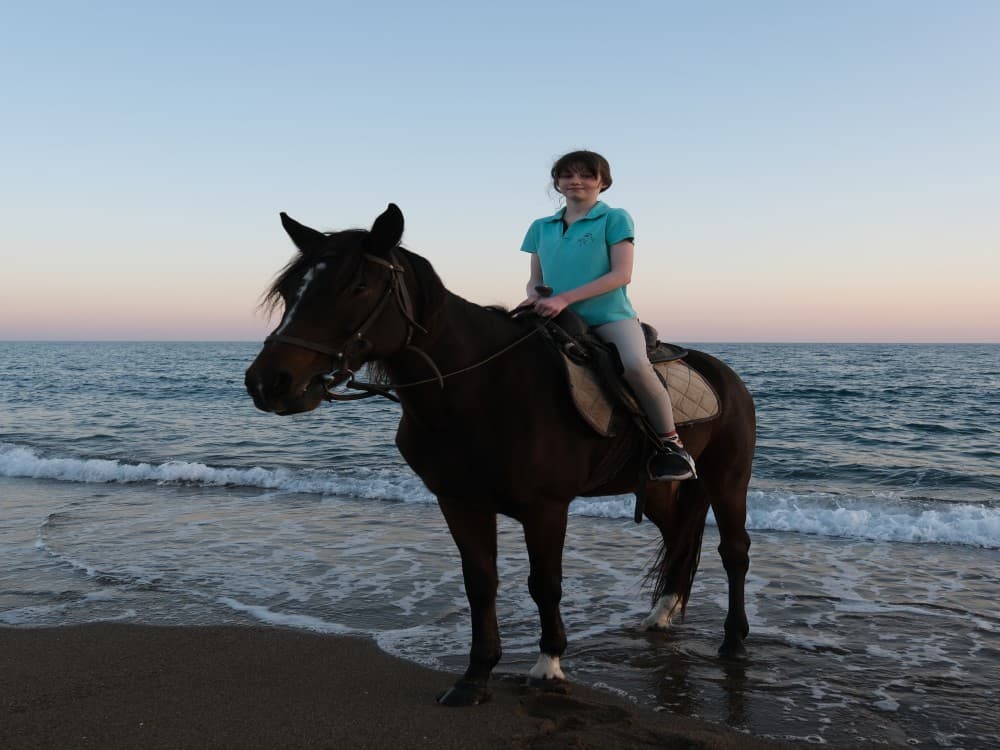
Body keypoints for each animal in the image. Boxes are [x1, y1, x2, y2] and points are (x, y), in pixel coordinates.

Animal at [245, 204, 756, 706]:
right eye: (290, 291)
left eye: (358, 287)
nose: (268, 383)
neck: (481, 388)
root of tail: (725, 374)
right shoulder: (459, 502)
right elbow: (480, 582)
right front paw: (476, 675)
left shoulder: (546, 507)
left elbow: (544, 583)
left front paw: (548, 664)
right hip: (654, 488)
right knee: (678, 536)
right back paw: (663, 613)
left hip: (727, 479)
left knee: (734, 550)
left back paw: (733, 640)